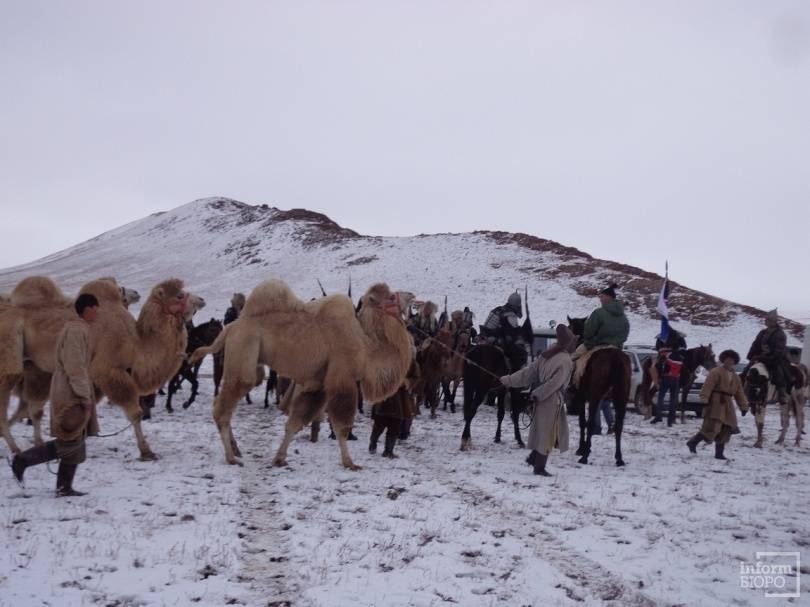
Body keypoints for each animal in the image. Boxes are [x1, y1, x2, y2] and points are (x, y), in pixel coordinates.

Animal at [191, 280, 410, 470]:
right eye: (391, 297)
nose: (411, 296)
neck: (366, 346)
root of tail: (230, 327)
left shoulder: (317, 384)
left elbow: (295, 422)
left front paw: (280, 458)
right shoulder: (342, 378)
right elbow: (342, 426)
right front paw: (349, 463)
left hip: (251, 362)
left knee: (229, 397)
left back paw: (236, 449)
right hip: (243, 348)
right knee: (224, 406)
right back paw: (230, 457)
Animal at [560, 318, 632, 466]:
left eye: (570, 327)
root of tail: (615, 357)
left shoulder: (581, 397)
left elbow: (583, 422)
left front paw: (581, 449)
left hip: (595, 396)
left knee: (591, 423)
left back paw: (585, 457)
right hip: (620, 397)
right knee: (618, 425)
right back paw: (619, 458)